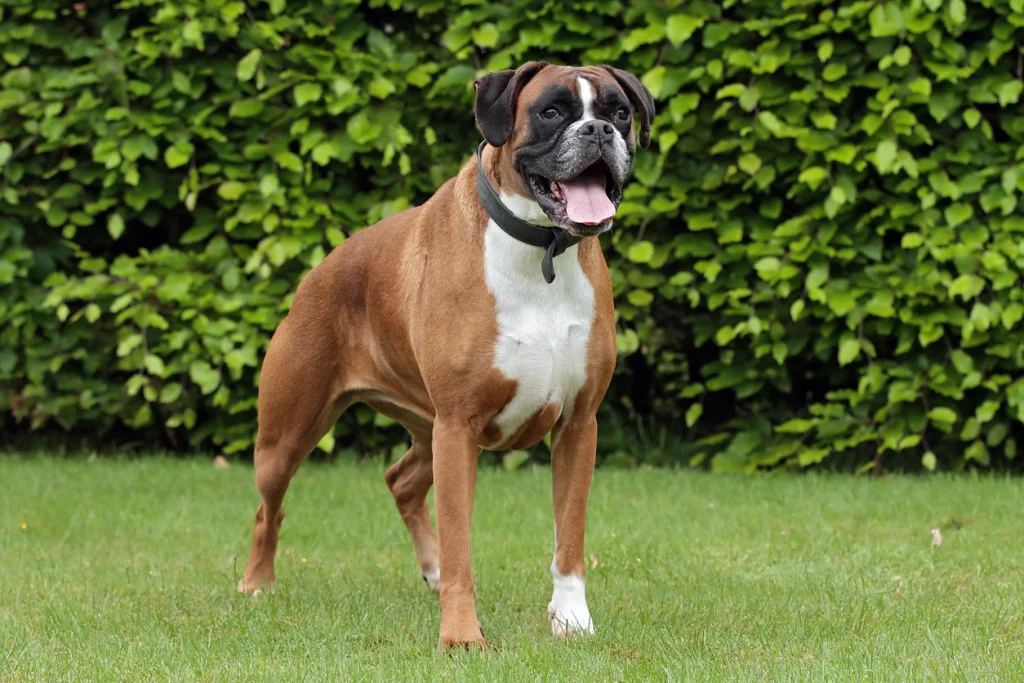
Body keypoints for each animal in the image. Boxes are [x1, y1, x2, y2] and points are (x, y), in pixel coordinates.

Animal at [237, 61, 655, 651]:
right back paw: (257, 583)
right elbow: (462, 544)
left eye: (620, 113)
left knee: (400, 481)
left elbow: (568, 541)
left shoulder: (577, 427)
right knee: (266, 510)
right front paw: (461, 636)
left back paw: (429, 569)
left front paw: (571, 619)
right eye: (551, 111)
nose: (598, 131)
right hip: (288, 436)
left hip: (424, 428)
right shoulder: (459, 428)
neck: (541, 249)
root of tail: (318, 272)